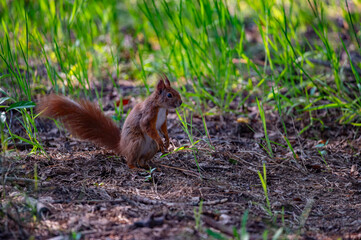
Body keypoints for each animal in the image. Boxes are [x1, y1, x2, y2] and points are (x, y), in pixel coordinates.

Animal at [37, 76, 180, 169]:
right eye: (169, 95)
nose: (180, 102)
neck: (161, 107)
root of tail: (122, 146)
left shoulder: (164, 119)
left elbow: (163, 128)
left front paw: (167, 140)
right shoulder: (148, 115)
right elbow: (146, 127)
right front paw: (161, 140)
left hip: (151, 147)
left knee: (140, 159)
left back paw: (147, 165)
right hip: (136, 141)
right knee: (130, 160)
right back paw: (134, 167)